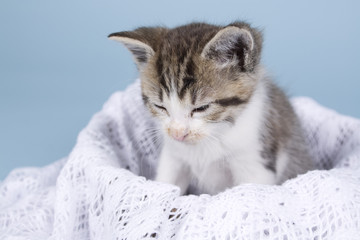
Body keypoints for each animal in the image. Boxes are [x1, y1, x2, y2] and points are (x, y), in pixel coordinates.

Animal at [108, 21, 314, 196]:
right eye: (160, 106)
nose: (178, 133)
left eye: (202, 107)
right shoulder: (173, 156)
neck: (214, 134)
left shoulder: (256, 162)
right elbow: (167, 184)